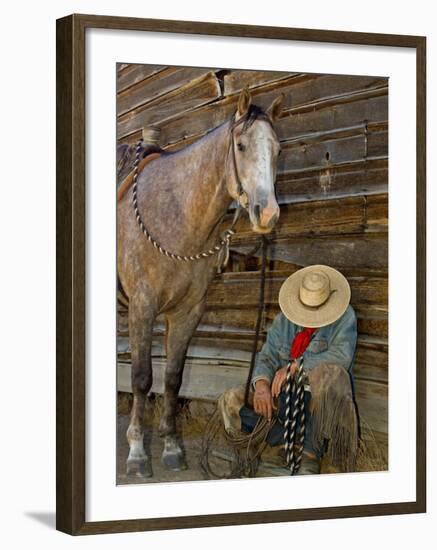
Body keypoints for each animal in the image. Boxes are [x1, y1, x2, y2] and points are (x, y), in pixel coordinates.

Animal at [117, 88, 282, 476]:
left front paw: (171, 446)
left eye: (278, 149)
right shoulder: (142, 308)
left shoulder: (188, 312)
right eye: (240, 146)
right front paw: (137, 452)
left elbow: (173, 377)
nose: (268, 214)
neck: (174, 213)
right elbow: (142, 377)